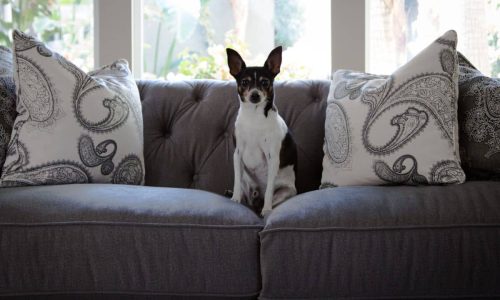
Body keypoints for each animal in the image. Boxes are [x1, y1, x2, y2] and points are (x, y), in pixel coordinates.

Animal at [227, 46, 296, 216]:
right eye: (244, 82)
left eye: (265, 82)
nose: (255, 94)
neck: (254, 116)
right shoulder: (237, 154)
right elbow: (236, 181)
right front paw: (235, 199)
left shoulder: (273, 158)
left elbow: (270, 190)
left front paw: (267, 209)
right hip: (247, 182)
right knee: (247, 195)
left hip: (287, 191)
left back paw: (262, 208)